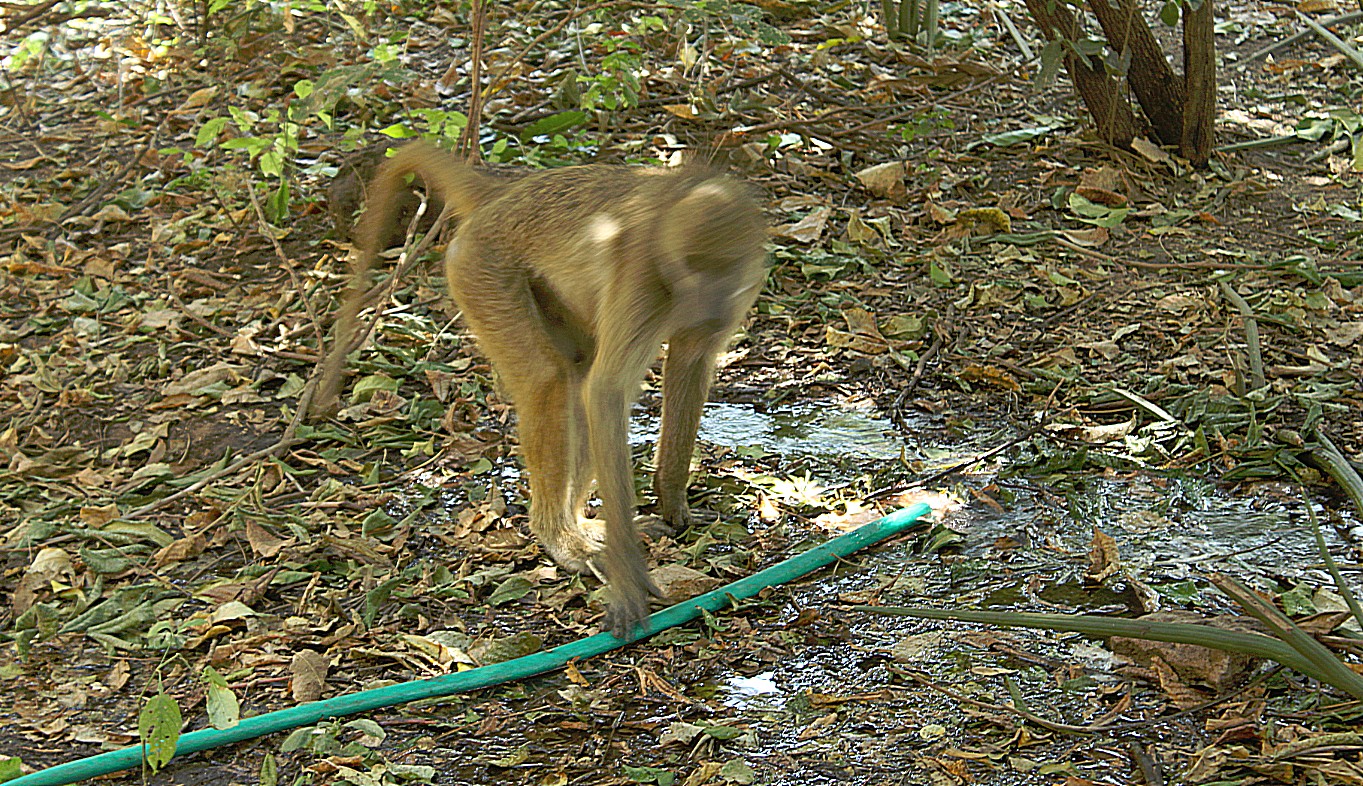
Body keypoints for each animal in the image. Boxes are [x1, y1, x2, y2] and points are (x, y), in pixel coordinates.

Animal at [312, 140, 774, 634]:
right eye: (692, 272)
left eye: (722, 274)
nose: (707, 307)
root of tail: (503, 194)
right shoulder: (646, 275)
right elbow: (606, 392)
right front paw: (630, 576)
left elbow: (687, 362)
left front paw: (673, 502)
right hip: (480, 268)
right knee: (550, 381)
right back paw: (560, 538)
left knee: (575, 375)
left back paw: (580, 527)